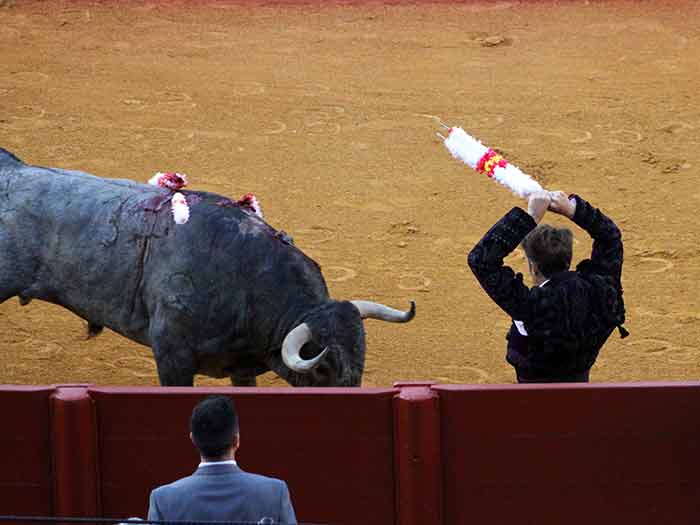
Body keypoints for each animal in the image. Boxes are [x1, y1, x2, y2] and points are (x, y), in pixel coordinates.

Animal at [0, 147, 416, 384]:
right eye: (324, 367)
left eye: (360, 360)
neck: (246, 281)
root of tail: (11, 170)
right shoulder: (172, 358)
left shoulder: (243, 369)